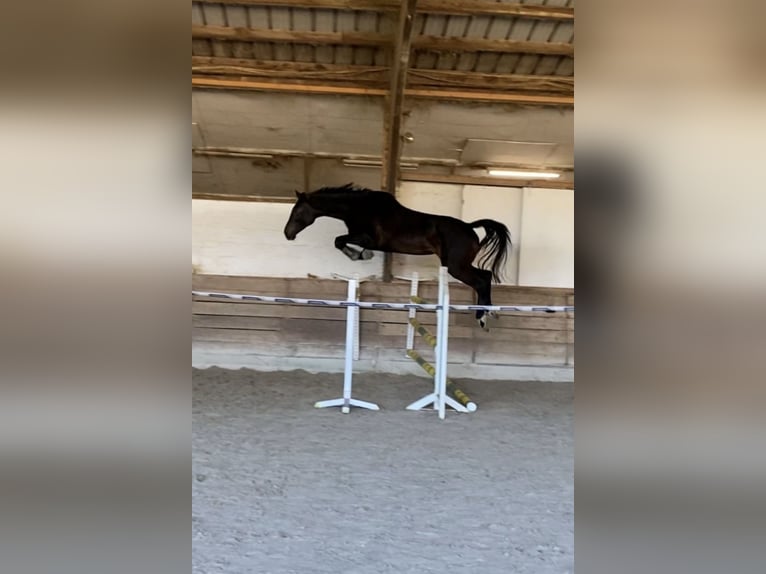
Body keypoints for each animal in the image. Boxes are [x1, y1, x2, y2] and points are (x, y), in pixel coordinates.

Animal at [283, 184, 512, 330]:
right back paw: (488, 313)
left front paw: (360, 255)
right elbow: (340, 241)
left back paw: (482, 317)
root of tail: (469, 227)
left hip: (456, 266)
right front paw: (360, 254)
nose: (287, 234)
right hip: (459, 265)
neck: (359, 208)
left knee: (481, 280)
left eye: (297, 212)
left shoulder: (368, 238)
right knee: (486, 276)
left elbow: (339, 241)